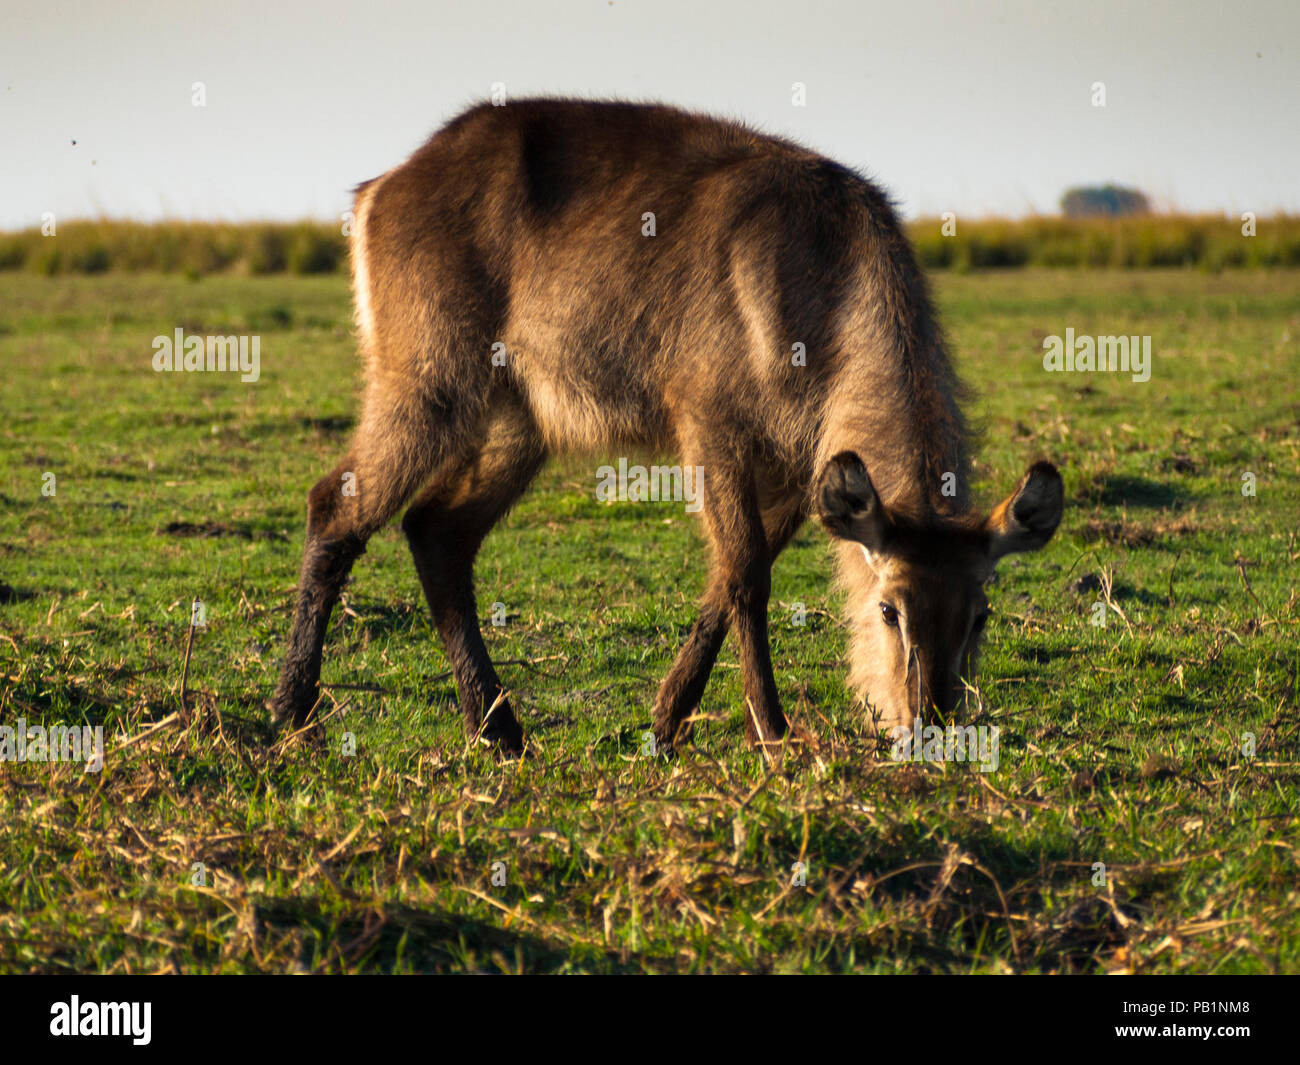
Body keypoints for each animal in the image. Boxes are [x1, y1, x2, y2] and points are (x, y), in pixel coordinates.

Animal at [269, 98, 1060, 749]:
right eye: (890, 610)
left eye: (981, 615)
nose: (928, 723)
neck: (827, 279)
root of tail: (385, 184)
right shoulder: (712, 421)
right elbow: (746, 575)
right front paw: (773, 732)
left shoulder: (799, 465)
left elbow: (730, 575)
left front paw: (667, 717)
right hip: (428, 383)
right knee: (335, 507)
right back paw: (293, 714)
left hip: (521, 420)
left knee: (437, 531)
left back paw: (499, 731)